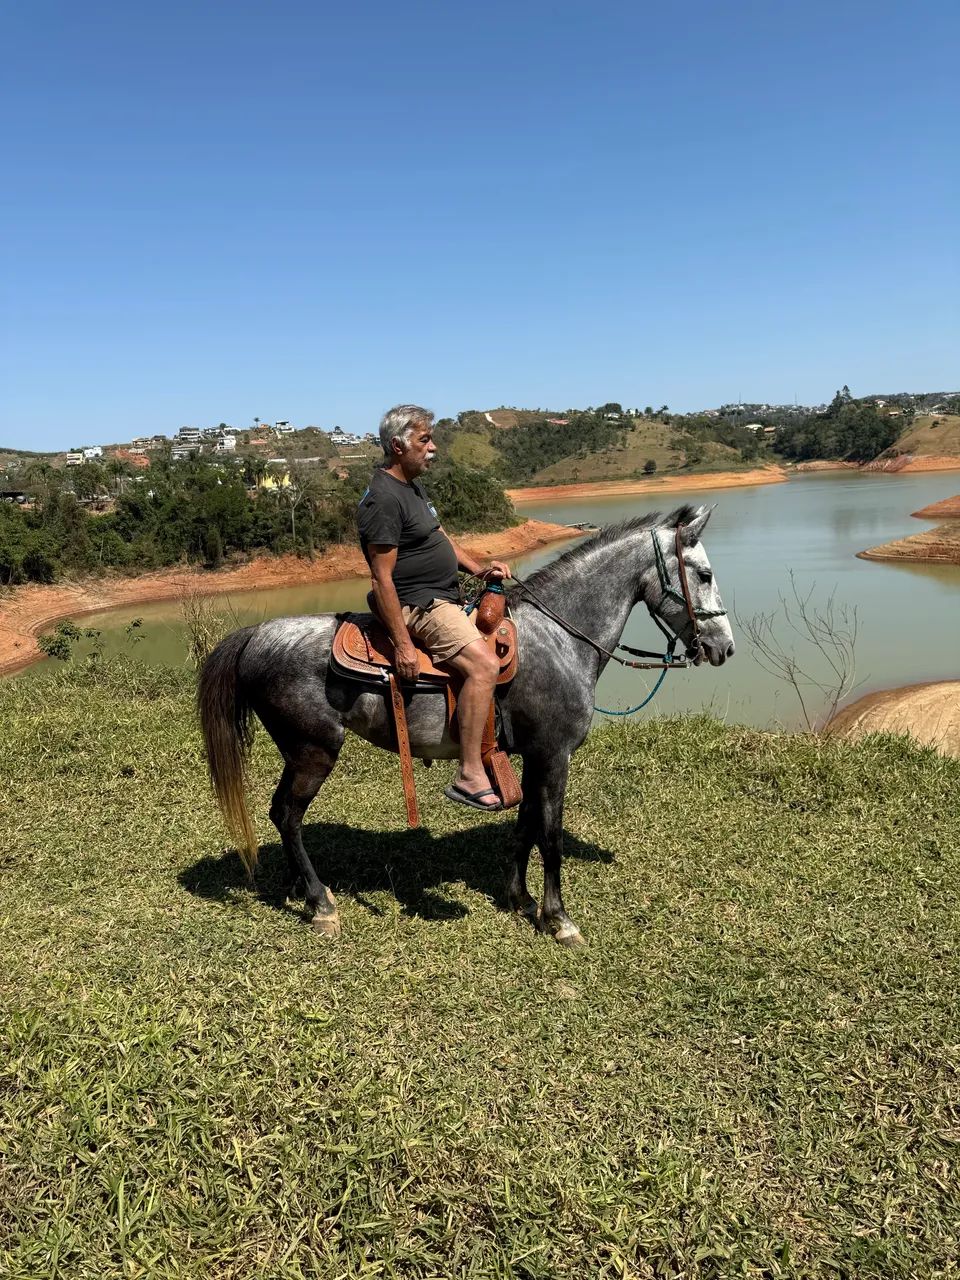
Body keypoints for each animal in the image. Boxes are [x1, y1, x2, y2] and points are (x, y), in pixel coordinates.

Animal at [197, 503, 734, 946]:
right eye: (705, 573)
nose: (723, 648)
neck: (560, 638)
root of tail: (255, 635)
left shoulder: (532, 757)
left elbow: (525, 826)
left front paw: (519, 898)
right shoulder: (553, 755)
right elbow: (551, 836)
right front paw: (559, 919)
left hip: (300, 753)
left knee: (280, 814)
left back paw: (301, 889)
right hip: (315, 752)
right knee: (288, 815)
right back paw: (320, 904)